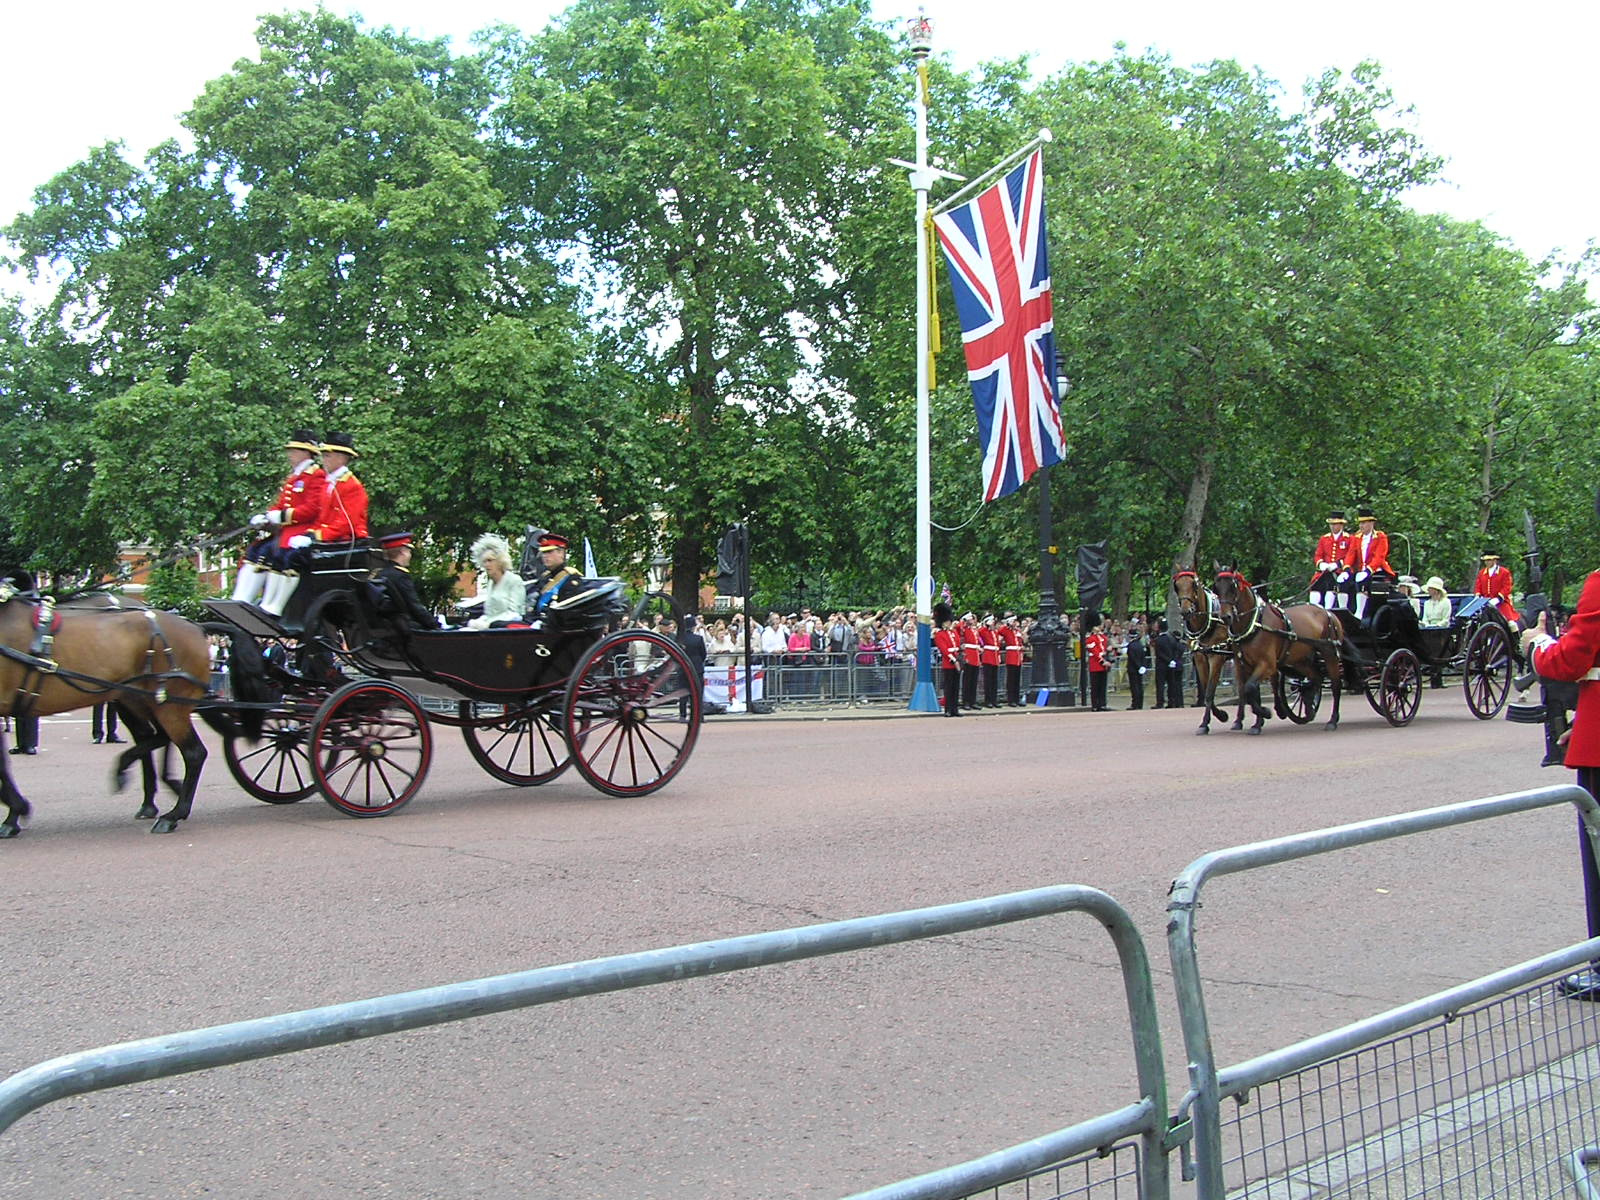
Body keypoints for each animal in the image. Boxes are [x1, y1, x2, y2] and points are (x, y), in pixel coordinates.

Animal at [0, 588, 214, 838]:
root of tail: (195, 627)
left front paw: (15, 812)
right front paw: (16, 812)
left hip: (169, 707)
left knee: (193, 753)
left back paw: (173, 814)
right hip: (141, 701)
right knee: (156, 737)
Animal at [1177, 569, 1235, 732]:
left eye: (1194, 584)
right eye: (1176, 585)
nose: (1186, 611)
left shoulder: (1216, 657)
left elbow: (1209, 691)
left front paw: (1206, 723)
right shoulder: (1200, 657)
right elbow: (1205, 687)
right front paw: (1220, 715)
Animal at [1209, 569, 1350, 732]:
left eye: (1233, 587)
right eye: (1216, 589)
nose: (1225, 617)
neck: (1254, 624)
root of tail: (1329, 612)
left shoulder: (1267, 664)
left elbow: (1250, 688)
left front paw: (1265, 713)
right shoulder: (1242, 664)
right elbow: (1246, 690)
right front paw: (1257, 720)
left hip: (1330, 654)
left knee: (1335, 685)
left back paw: (1332, 720)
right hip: (1300, 661)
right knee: (1316, 678)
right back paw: (1309, 709)